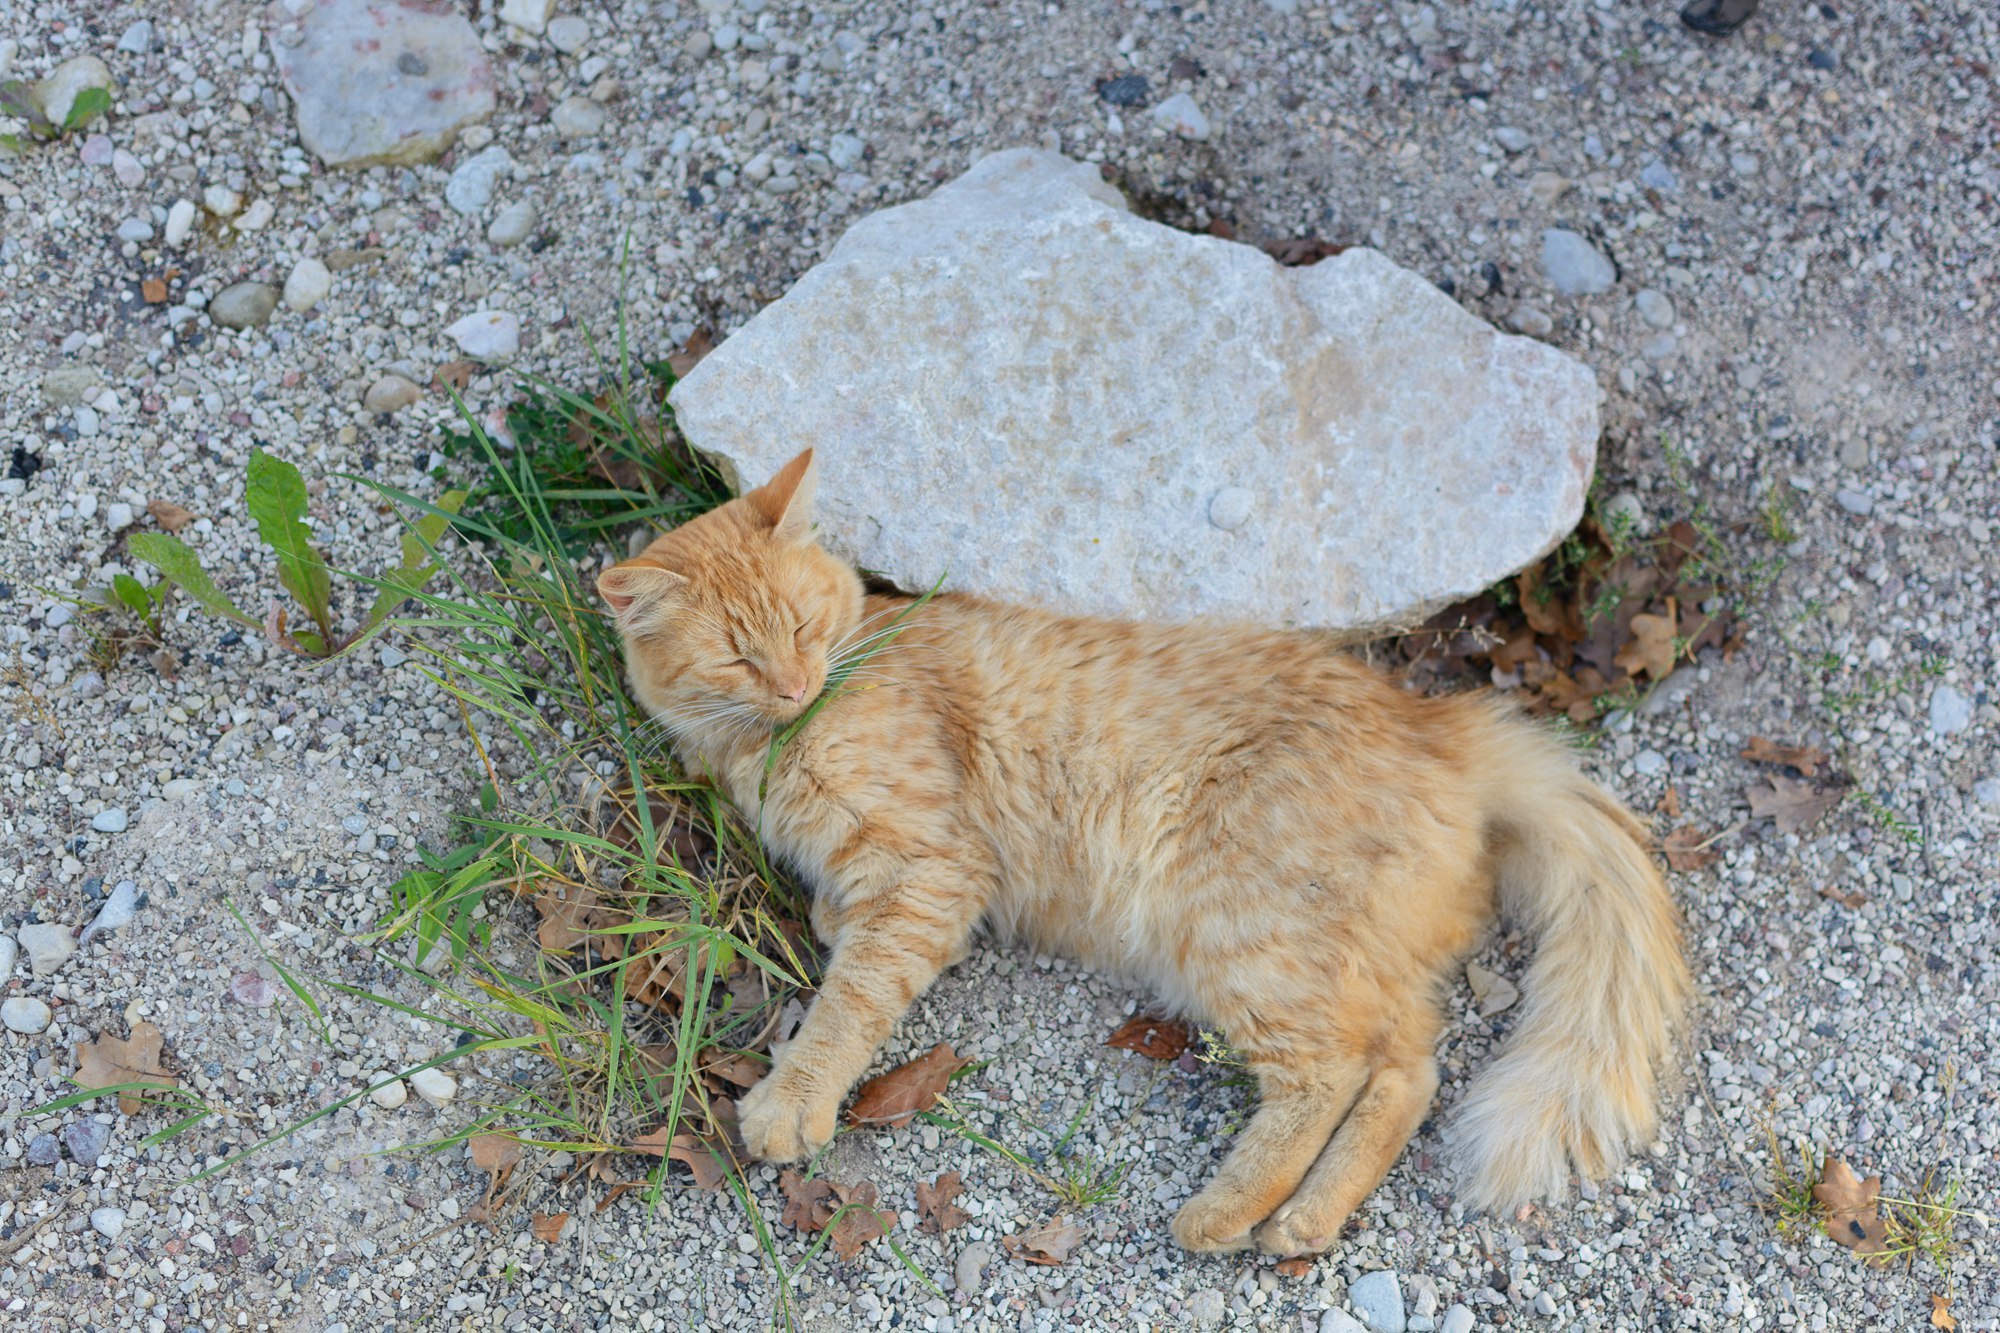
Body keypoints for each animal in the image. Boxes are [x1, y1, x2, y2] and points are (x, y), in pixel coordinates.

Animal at [596, 452, 1688, 1248]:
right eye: (738, 655)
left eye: (804, 623)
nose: (792, 682)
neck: (773, 743)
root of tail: (1441, 727)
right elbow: (839, 924)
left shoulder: (928, 872)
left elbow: (849, 998)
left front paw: (792, 1098)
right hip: (1339, 959)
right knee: (1407, 1066)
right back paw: (1304, 1219)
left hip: (1234, 932)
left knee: (1333, 1073)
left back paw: (1228, 1212)